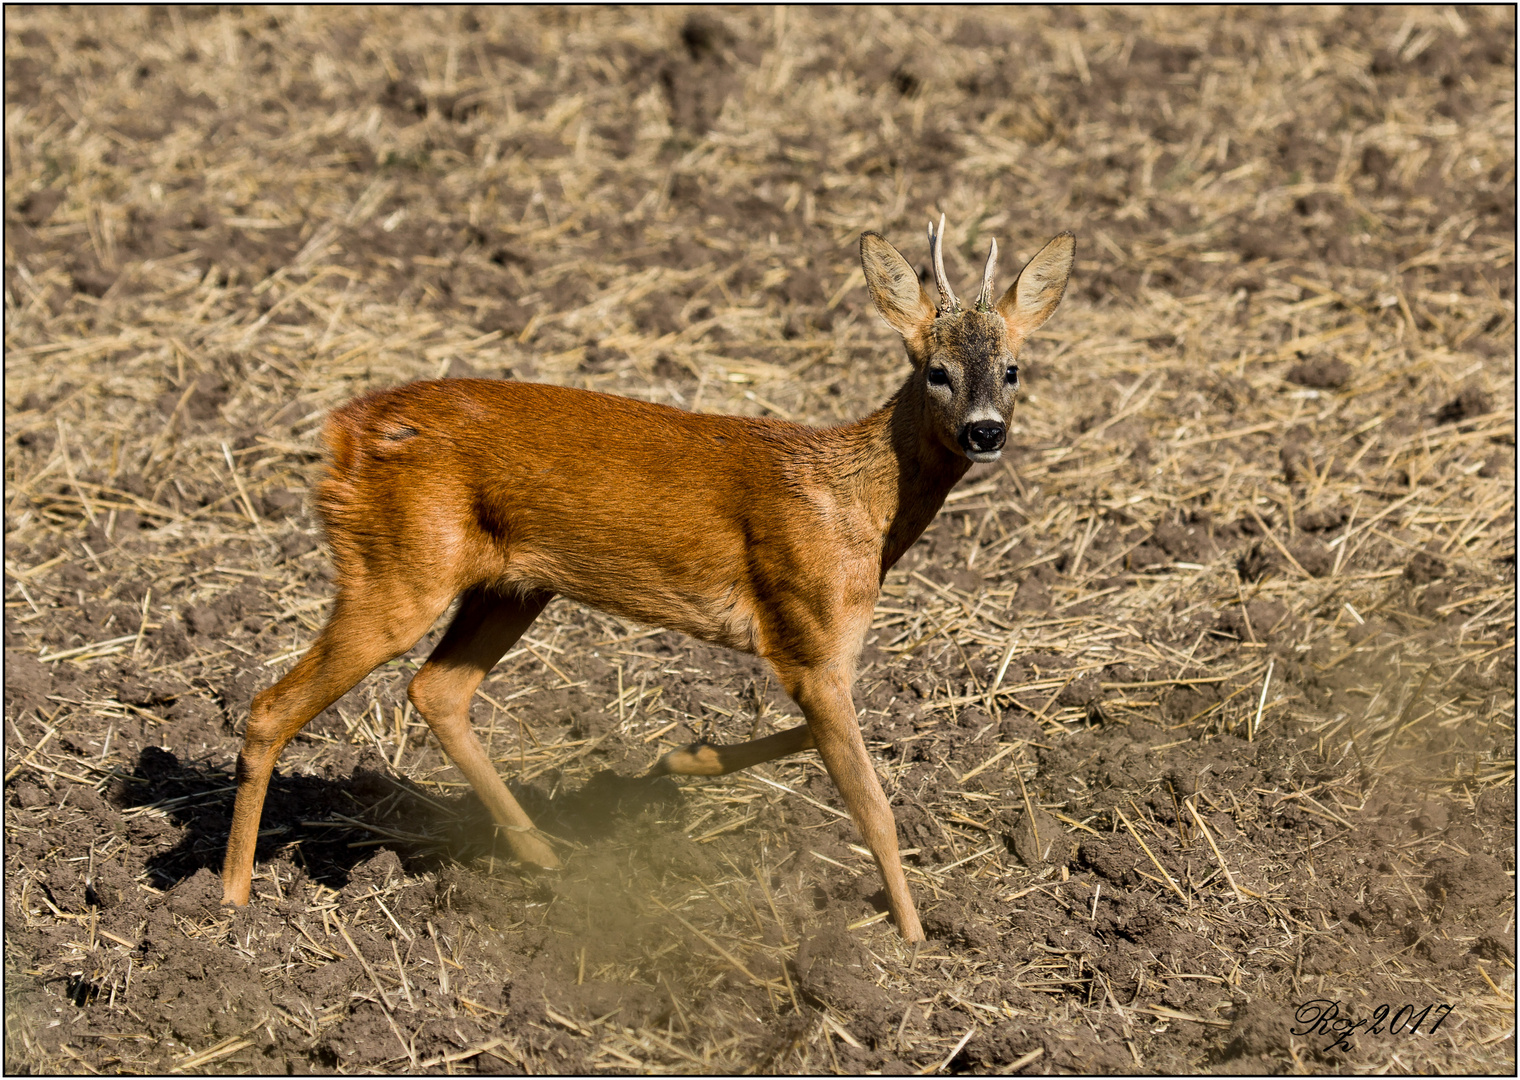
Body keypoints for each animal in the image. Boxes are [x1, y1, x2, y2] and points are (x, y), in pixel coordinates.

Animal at [228, 217, 1082, 935]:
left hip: (512, 584)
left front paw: (684, 760)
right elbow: (872, 805)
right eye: (936, 371)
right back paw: (232, 903)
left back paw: (547, 858)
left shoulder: (811, 654)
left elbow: (812, 746)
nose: (984, 431)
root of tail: (342, 433)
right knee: (271, 706)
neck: (857, 509)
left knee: (436, 690)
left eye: (1013, 369)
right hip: (399, 569)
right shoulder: (811, 632)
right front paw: (913, 939)